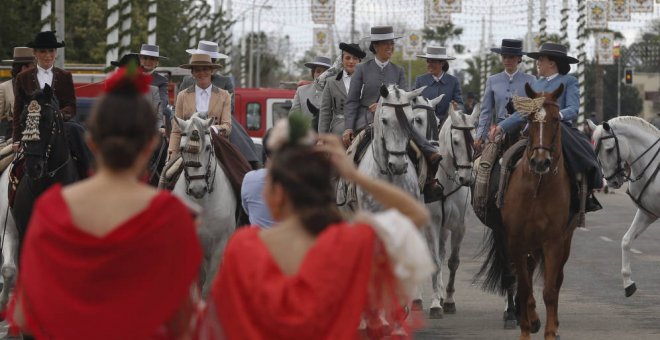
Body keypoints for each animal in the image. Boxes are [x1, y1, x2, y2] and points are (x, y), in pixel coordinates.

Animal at [173, 112, 237, 294]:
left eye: (208, 147)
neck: (203, 204)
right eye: (182, 149)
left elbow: (209, 285)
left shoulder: (220, 245)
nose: (197, 189)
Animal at [412, 99, 480, 318]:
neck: (445, 183)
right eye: (456, 141)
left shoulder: (459, 226)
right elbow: (433, 261)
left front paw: (448, 300)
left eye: (475, 139)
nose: (466, 178)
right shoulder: (432, 223)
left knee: (442, 253)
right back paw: (417, 299)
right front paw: (435, 304)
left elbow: (452, 261)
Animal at [476, 83, 580, 340]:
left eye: (556, 119)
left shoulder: (553, 241)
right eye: (531, 119)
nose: (540, 162)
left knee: (556, 280)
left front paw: (551, 331)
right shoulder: (513, 239)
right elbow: (522, 287)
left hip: (564, 239)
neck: (537, 188)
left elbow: (550, 290)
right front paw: (524, 325)